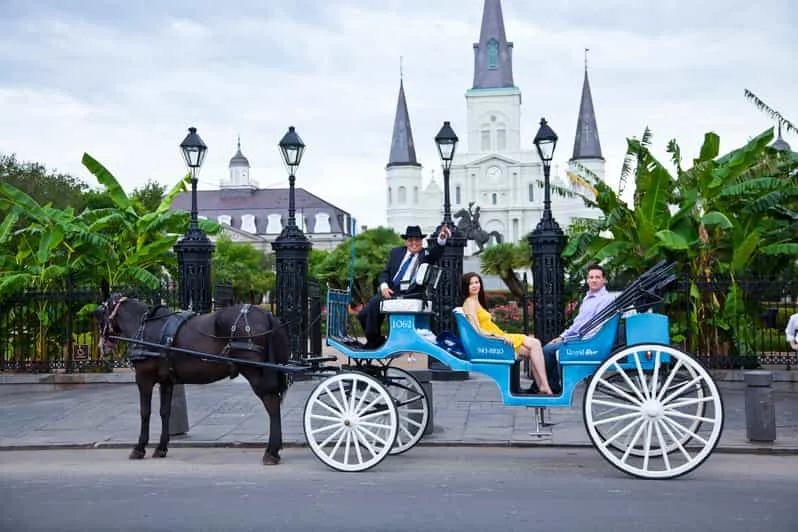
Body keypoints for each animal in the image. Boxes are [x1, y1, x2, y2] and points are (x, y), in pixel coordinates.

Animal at [94, 290, 292, 466]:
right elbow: (165, 412)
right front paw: (161, 447)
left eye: (100, 314)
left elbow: (145, 412)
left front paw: (139, 448)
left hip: (255, 372)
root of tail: (266, 314)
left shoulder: (144, 378)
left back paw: (272, 452)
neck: (144, 326)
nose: (102, 345)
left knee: (272, 405)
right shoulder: (166, 381)